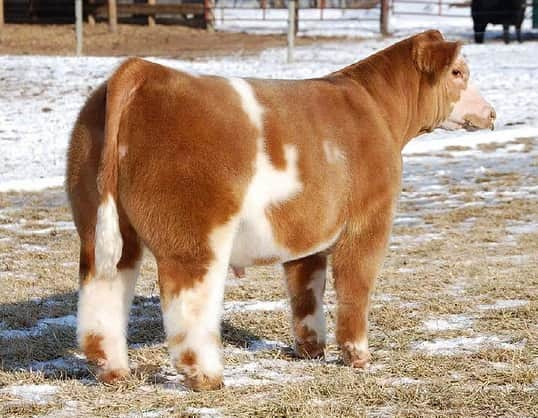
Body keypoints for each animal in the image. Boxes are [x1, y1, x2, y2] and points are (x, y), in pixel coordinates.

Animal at [66, 30, 494, 392]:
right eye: (458, 72)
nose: (491, 113)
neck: (376, 110)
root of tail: (143, 71)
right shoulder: (370, 219)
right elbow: (355, 286)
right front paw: (358, 356)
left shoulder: (306, 230)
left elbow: (306, 290)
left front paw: (311, 350)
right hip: (194, 236)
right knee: (188, 302)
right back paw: (206, 375)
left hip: (102, 227)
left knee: (102, 293)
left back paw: (113, 370)